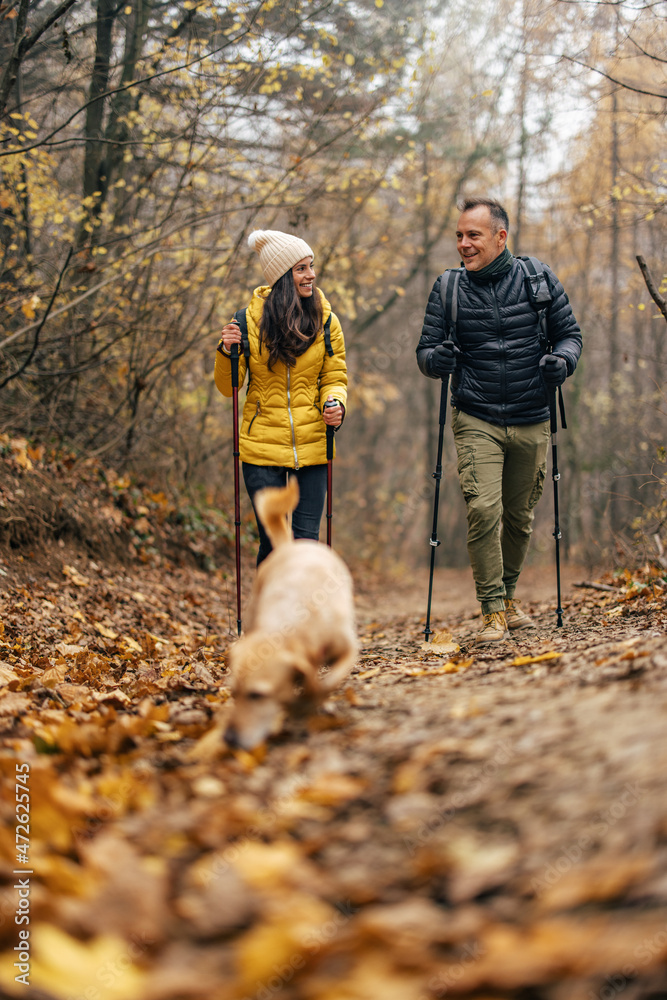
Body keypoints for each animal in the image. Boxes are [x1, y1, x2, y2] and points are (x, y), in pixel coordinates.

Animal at [224, 478, 358, 752]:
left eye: (256, 695)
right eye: (233, 693)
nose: (228, 739)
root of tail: (291, 545)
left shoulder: (349, 647)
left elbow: (328, 680)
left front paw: (313, 700)